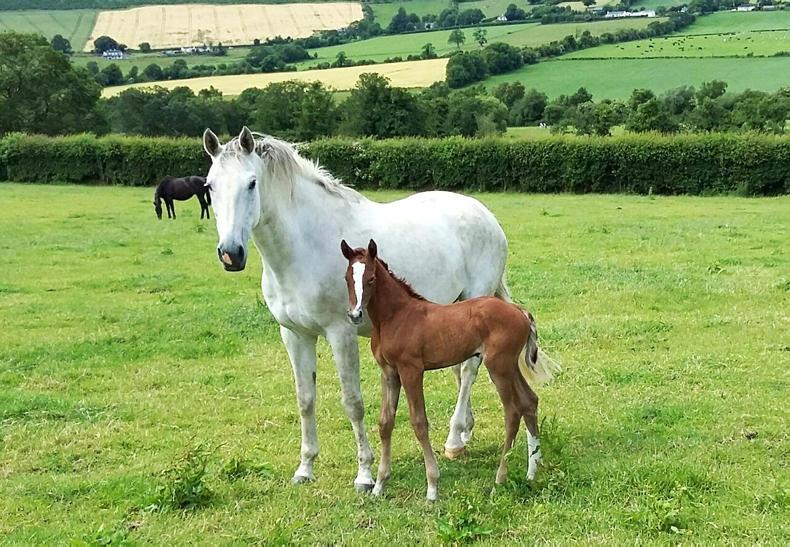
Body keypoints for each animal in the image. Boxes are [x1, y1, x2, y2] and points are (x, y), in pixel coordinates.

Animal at [202, 126, 511, 491]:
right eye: (209, 186)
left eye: (251, 183)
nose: (230, 254)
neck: (305, 244)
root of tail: (487, 216)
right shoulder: (294, 335)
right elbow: (305, 400)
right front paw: (305, 468)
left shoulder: (341, 334)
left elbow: (353, 403)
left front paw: (364, 474)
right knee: (461, 369)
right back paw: (463, 434)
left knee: (469, 370)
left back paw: (452, 440)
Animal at [341, 239, 559, 500]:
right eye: (347, 278)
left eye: (371, 278)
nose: (355, 314)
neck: (396, 317)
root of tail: (520, 312)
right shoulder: (389, 373)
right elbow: (385, 423)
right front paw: (379, 485)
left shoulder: (411, 370)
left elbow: (419, 423)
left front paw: (432, 487)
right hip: (508, 365)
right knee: (529, 401)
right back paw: (532, 472)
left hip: (498, 367)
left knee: (513, 412)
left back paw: (500, 478)